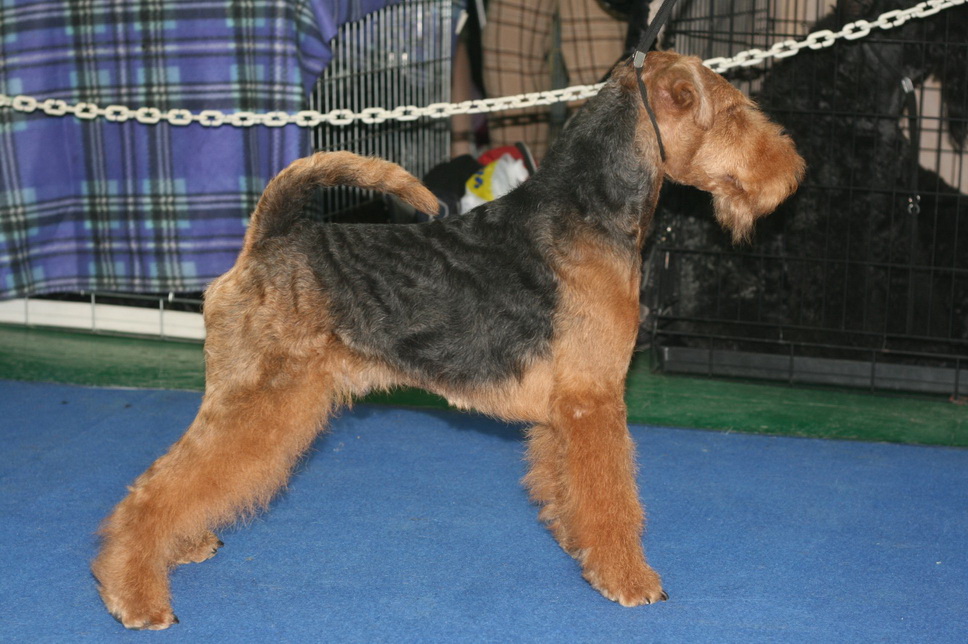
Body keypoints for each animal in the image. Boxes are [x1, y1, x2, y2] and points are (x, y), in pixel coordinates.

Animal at [92, 51, 804, 629]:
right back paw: (136, 596)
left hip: (243, 393)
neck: (589, 209)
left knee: (172, 478)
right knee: (159, 489)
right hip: (267, 397)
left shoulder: (566, 409)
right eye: (734, 110)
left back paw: (178, 550)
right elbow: (611, 496)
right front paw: (629, 580)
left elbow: (570, 487)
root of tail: (266, 239)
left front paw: (580, 549)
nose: (793, 173)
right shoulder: (594, 398)